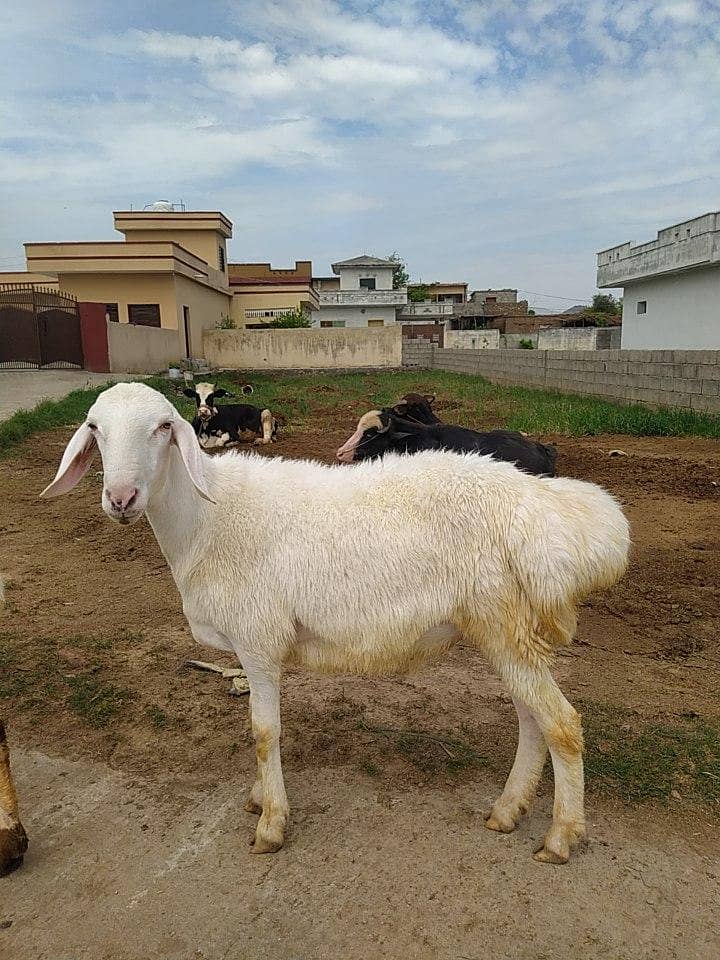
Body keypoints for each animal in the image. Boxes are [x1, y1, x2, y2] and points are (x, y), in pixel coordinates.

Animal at [41, 382, 630, 863]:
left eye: (164, 427)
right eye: (95, 428)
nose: (121, 498)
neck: (209, 515)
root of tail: (545, 509)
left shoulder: (258, 640)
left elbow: (263, 732)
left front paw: (271, 823)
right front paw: (260, 797)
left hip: (502, 623)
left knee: (561, 724)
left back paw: (560, 836)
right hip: (505, 628)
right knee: (534, 720)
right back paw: (508, 810)